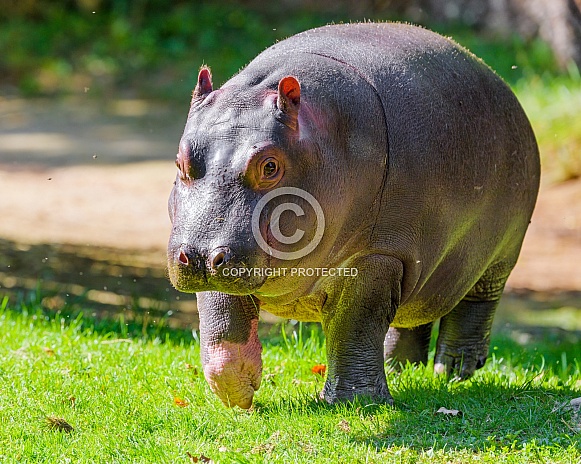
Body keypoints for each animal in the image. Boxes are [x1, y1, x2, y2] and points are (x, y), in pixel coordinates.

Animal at [167, 21, 540, 408]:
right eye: (180, 160)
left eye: (270, 165)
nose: (199, 257)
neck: (324, 133)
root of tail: (500, 83)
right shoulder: (219, 260)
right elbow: (222, 319)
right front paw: (239, 390)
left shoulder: (378, 255)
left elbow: (355, 324)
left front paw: (354, 401)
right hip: (423, 259)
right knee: (413, 313)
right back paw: (398, 368)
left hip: (500, 253)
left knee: (477, 302)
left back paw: (453, 369)